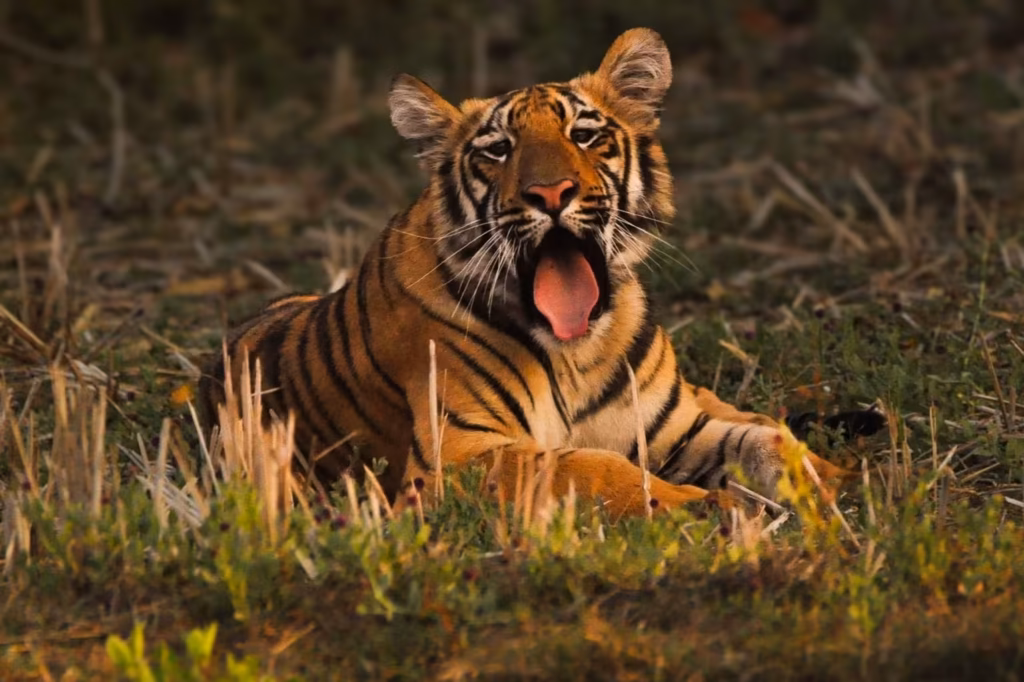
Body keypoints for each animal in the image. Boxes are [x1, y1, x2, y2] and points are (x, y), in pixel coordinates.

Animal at [199, 28, 877, 520]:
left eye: (586, 134)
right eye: (498, 149)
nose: (550, 193)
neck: (580, 349)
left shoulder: (679, 427)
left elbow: (767, 442)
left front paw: (835, 482)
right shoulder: (457, 454)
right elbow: (588, 466)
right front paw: (700, 505)